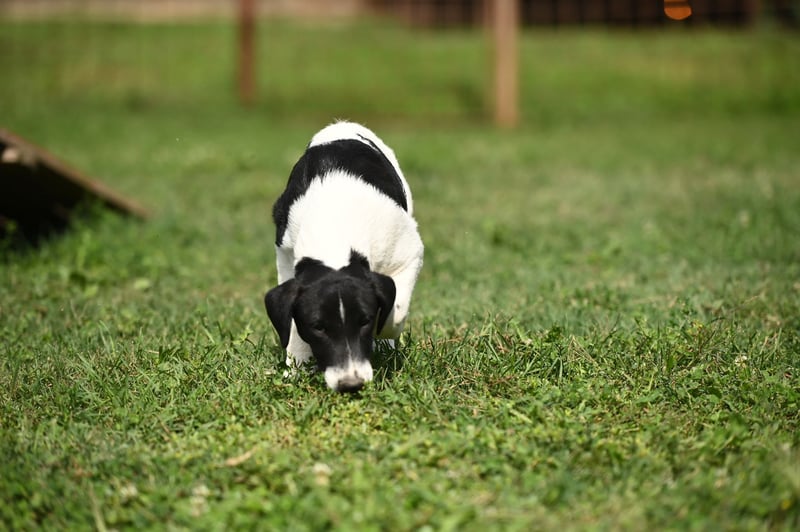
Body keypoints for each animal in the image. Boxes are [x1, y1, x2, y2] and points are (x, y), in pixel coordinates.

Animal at [264, 121, 423, 393]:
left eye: (364, 321)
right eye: (318, 327)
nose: (351, 384)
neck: (334, 229)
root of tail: (342, 124)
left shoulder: (410, 252)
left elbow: (396, 312)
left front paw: (382, 337)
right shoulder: (284, 255)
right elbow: (292, 323)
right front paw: (296, 366)